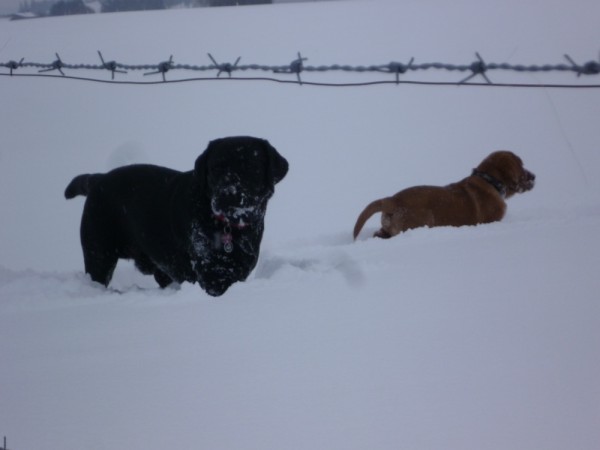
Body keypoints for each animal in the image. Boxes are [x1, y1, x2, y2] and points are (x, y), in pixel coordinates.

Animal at [65, 136, 288, 296]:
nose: (227, 194)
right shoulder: (212, 275)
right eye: (215, 168)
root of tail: (98, 179)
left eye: (251, 167)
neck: (230, 226)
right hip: (99, 254)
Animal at [353, 150, 535, 240]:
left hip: (387, 227)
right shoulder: (492, 220)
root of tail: (392, 200)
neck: (489, 180)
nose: (534, 176)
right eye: (521, 165)